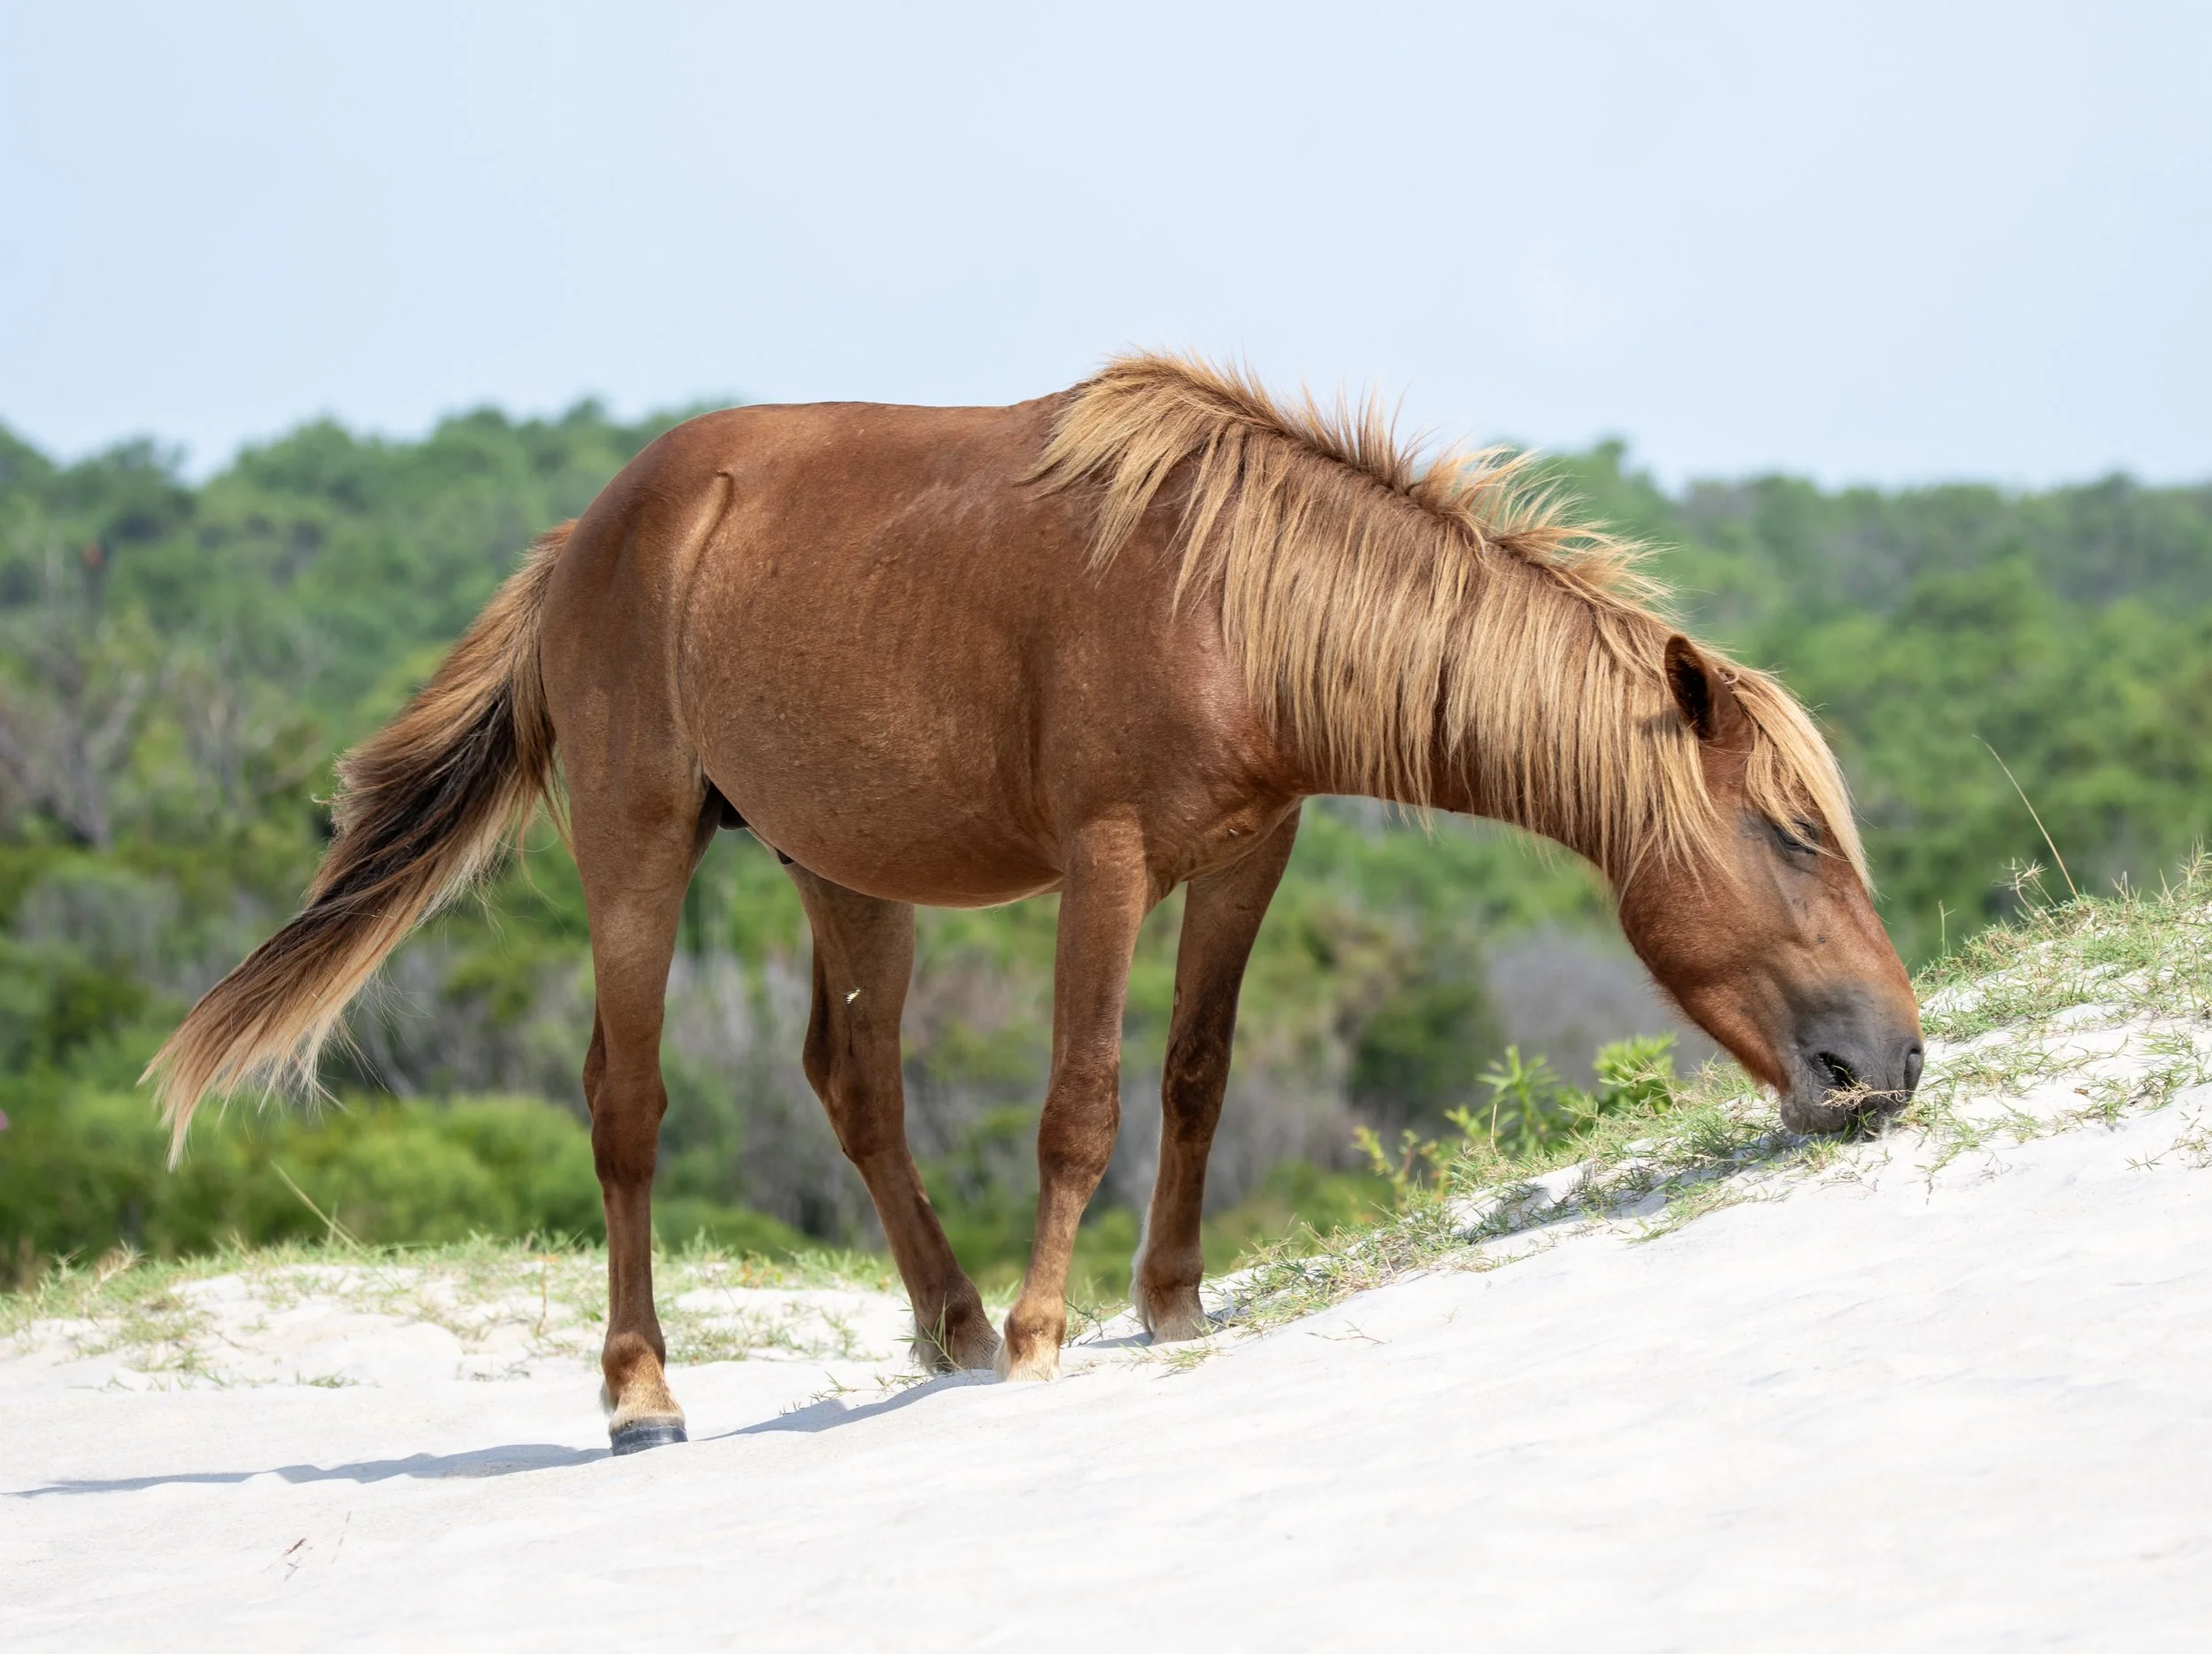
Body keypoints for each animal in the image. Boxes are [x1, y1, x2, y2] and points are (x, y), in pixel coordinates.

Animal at [146, 353, 1922, 1453]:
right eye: (1792, 836)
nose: (1892, 1063)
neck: (1228, 598)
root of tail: (588, 531)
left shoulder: (1251, 854)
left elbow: (1196, 1077)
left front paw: (1173, 1304)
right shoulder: (1111, 860)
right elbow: (1081, 1101)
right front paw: (1052, 1330)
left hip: (844, 870)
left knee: (854, 1085)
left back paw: (941, 1319)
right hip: (636, 847)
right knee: (627, 1104)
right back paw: (647, 1392)